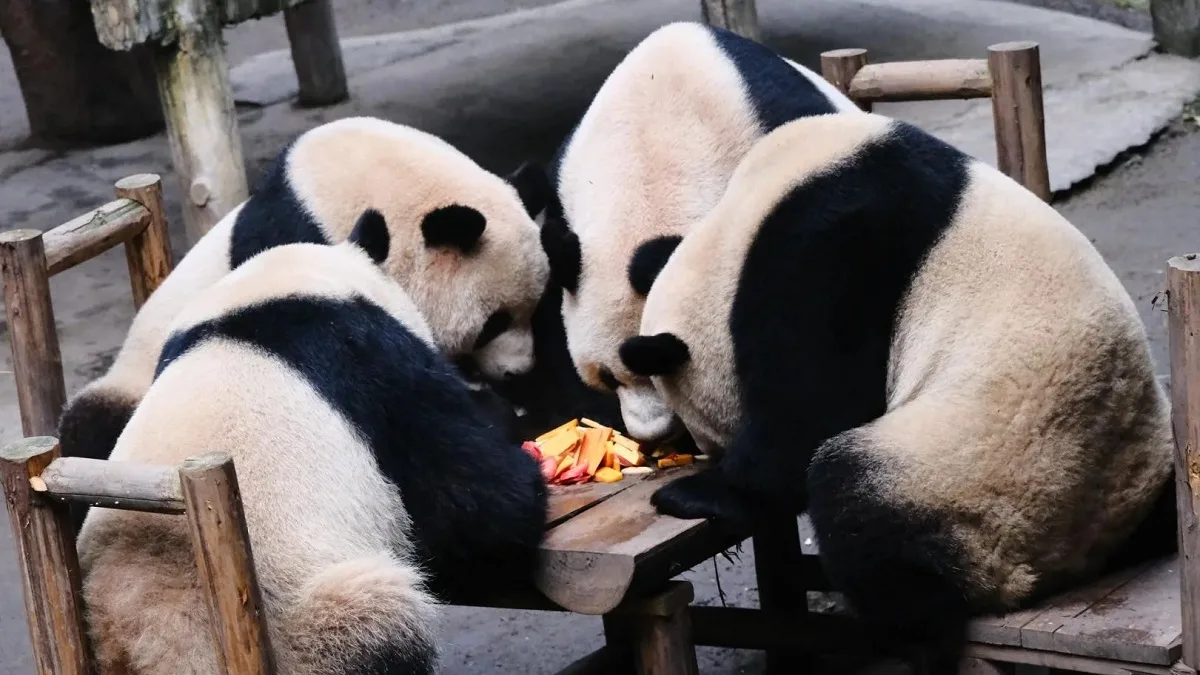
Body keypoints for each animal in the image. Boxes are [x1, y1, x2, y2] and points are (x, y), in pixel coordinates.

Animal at [58, 116, 551, 470]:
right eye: (493, 323)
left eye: (534, 310)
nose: (520, 372)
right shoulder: (296, 243)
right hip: (132, 384)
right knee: (91, 427)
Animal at [617, 112, 1175, 671]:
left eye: (701, 428)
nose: (702, 452)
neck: (741, 221)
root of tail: (1083, 553)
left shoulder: (826, 253)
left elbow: (812, 409)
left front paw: (700, 494)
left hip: (984, 470)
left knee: (858, 500)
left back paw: (914, 638)